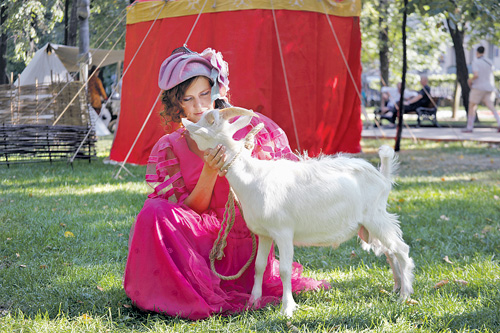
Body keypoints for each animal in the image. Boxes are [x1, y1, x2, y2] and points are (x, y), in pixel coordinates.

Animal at [183, 107, 414, 316]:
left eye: (210, 121)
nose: (185, 125)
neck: (252, 177)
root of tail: (382, 177)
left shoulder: (284, 232)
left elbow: (285, 270)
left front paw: (287, 309)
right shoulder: (264, 234)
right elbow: (258, 266)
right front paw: (253, 302)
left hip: (375, 217)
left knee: (401, 250)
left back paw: (404, 296)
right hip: (368, 226)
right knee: (390, 251)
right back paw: (396, 288)